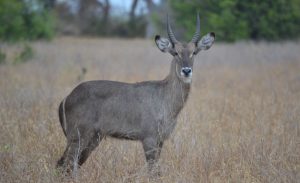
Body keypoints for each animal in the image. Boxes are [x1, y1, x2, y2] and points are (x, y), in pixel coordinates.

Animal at [56, 14, 216, 174]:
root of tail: (66, 98)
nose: (186, 71)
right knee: (66, 165)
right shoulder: (149, 139)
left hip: (93, 138)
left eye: (194, 52)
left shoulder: (160, 140)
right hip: (78, 137)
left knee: (66, 165)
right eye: (175, 52)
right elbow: (152, 171)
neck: (165, 99)